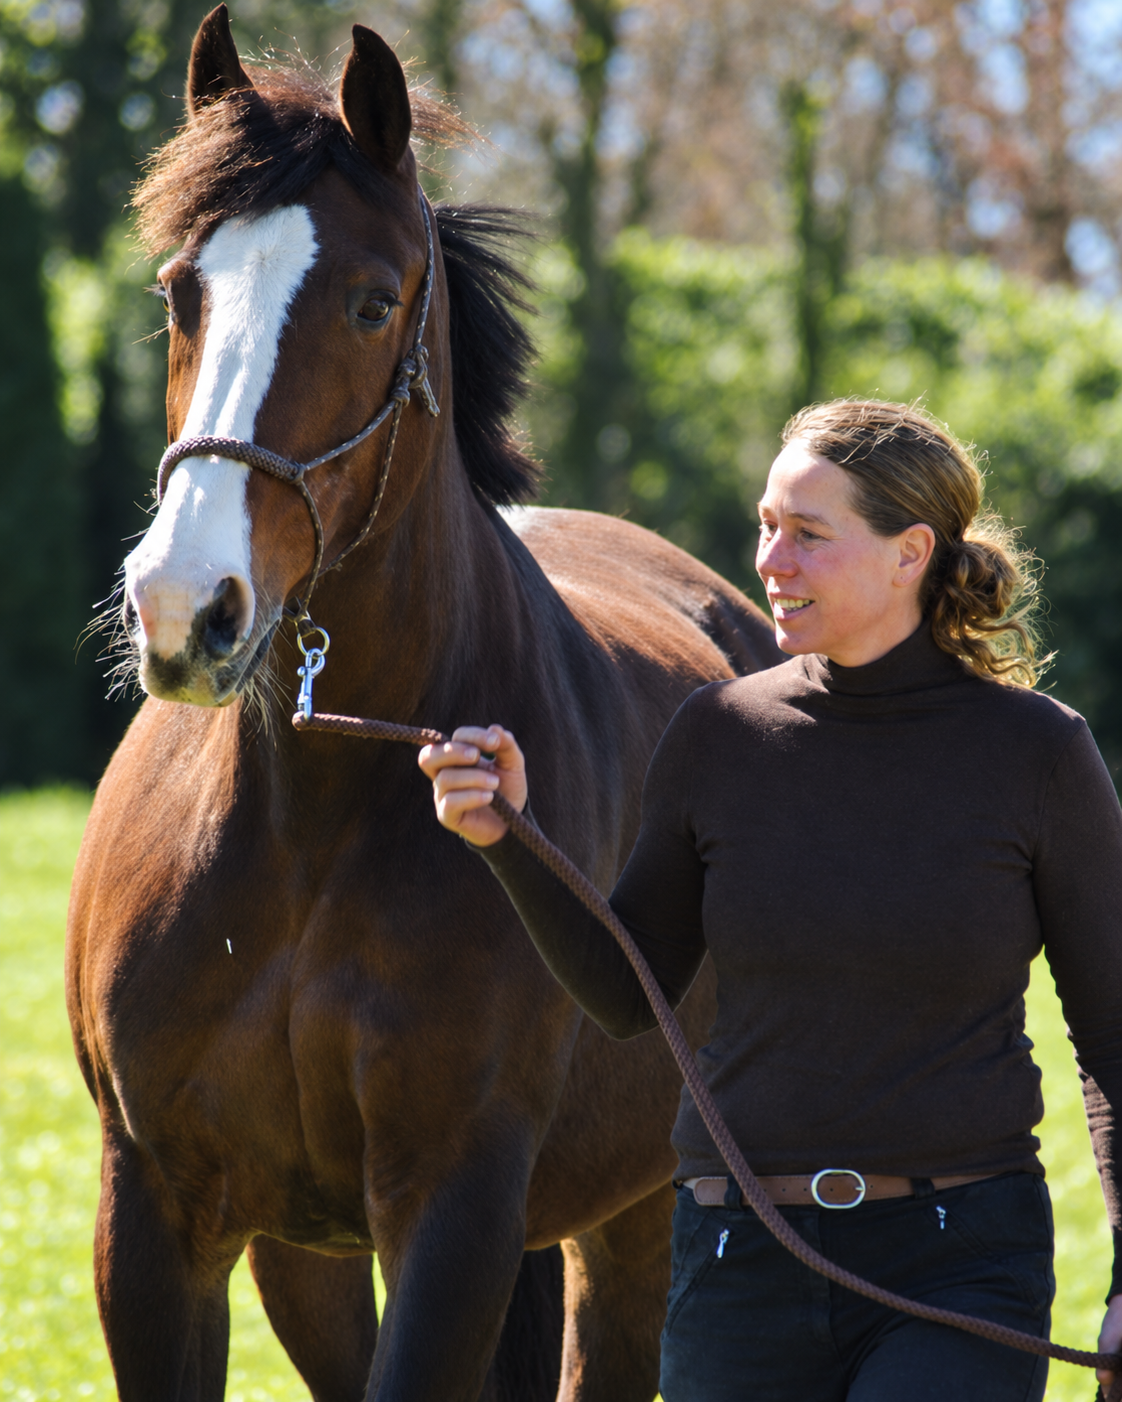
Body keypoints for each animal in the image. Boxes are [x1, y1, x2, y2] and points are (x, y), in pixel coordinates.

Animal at [65, 9, 781, 1400]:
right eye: (182, 291)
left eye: (369, 300)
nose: (187, 608)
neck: (303, 830)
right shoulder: (161, 1216)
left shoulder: (455, 1213)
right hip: (313, 1255)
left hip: (640, 1215)